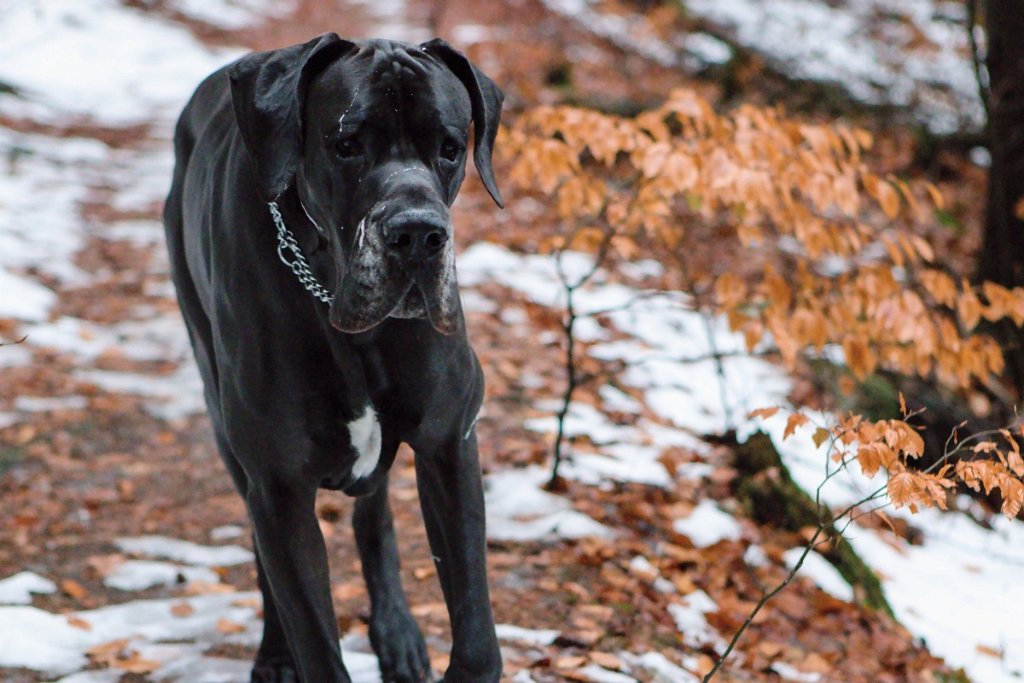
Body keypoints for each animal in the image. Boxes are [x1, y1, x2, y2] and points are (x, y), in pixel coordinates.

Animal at [161, 34, 505, 679]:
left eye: (450, 148)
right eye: (347, 145)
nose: (418, 235)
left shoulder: (450, 444)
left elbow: (476, 638)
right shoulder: (279, 485)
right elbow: (314, 636)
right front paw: (292, 647)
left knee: (375, 515)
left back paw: (396, 631)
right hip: (224, 423)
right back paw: (274, 653)